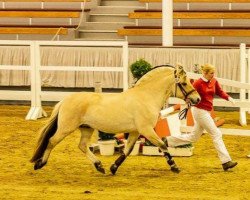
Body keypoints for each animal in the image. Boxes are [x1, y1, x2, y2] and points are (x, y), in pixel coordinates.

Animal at [30, 64, 200, 175]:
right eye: (184, 83)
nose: (197, 99)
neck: (146, 96)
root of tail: (65, 100)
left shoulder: (135, 131)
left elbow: (127, 150)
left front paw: (113, 168)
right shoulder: (146, 130)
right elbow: (162, 145)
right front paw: (174, 167)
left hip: (86, 128)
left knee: (82, 146)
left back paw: (99, 166)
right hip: (66, 128)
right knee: (52, 141)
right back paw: (40, 164)